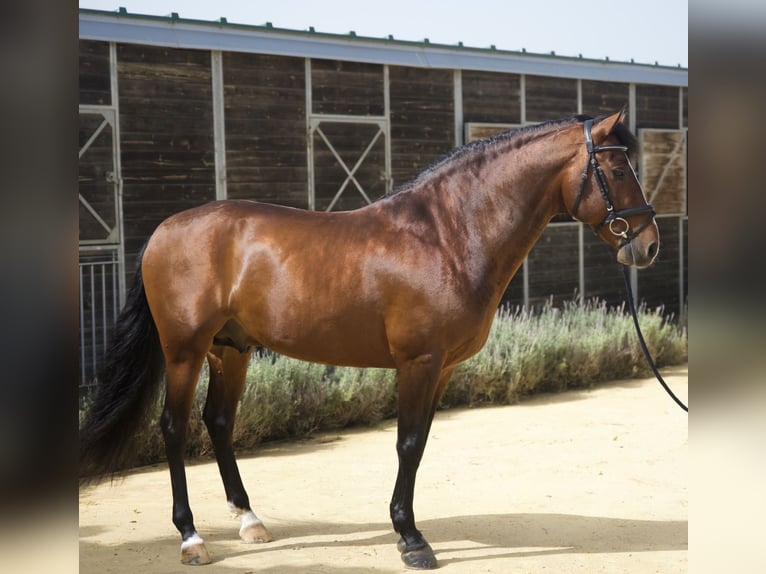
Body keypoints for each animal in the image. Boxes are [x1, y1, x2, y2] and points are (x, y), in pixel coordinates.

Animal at [79, 110, 658, 569]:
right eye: (617, 169)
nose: (648, 244)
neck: (446, 235)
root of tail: (162, 231)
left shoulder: (442, 368)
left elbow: (419, 445)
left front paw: (408, 530)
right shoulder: (419, 362)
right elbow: (407, 444)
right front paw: (411, 539)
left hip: (231, 348)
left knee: (218, 422)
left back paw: (249, 521)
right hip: (185, 350)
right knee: (173, 428)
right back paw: (191, 537)